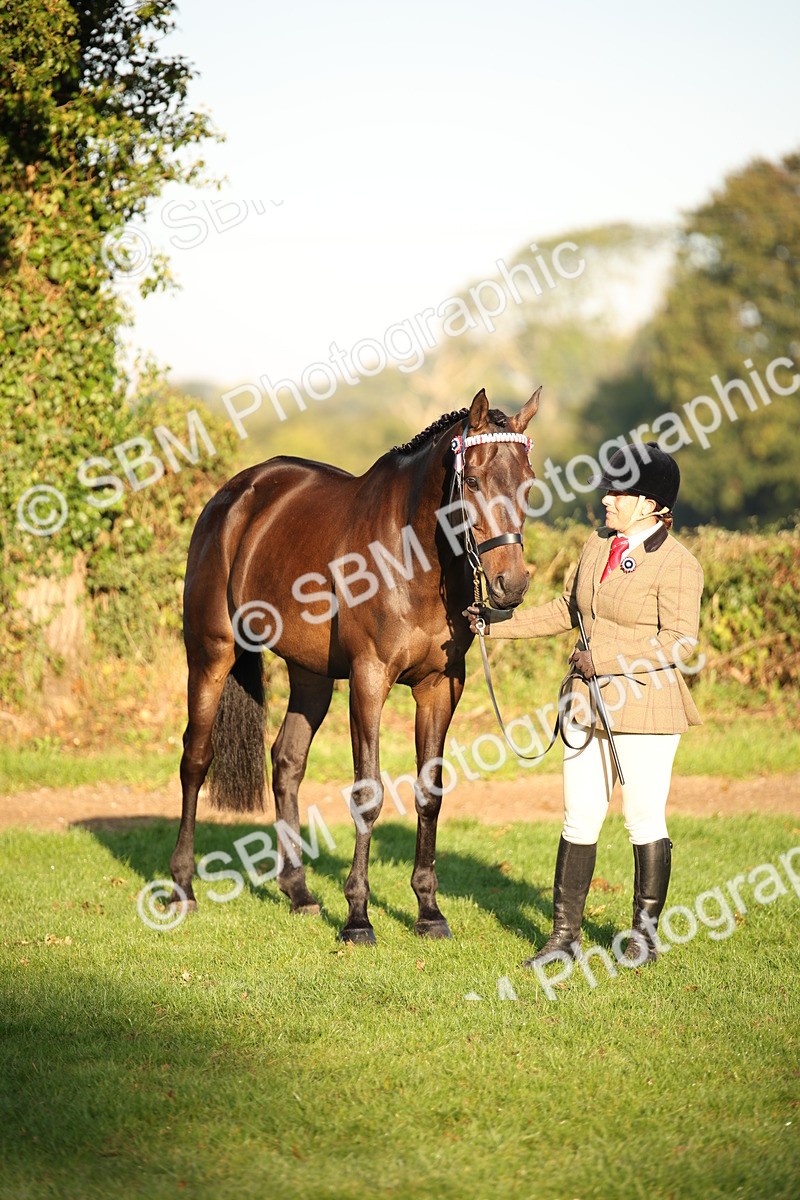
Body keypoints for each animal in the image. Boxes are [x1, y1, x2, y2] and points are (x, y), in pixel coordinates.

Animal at [169, 385, 540, 942]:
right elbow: (368, 793)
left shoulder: (441, 686)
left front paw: (429, 912)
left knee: (286, 762)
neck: (411, 558)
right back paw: (183, 888)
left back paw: (299, 892)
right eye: (472, 480)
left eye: (528, 483)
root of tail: (233, 496)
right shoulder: (369, 680)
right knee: (195, 759)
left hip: (311, 676)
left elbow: (429, 793)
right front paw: (358, 917)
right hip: (211, 654)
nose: (510, 585)